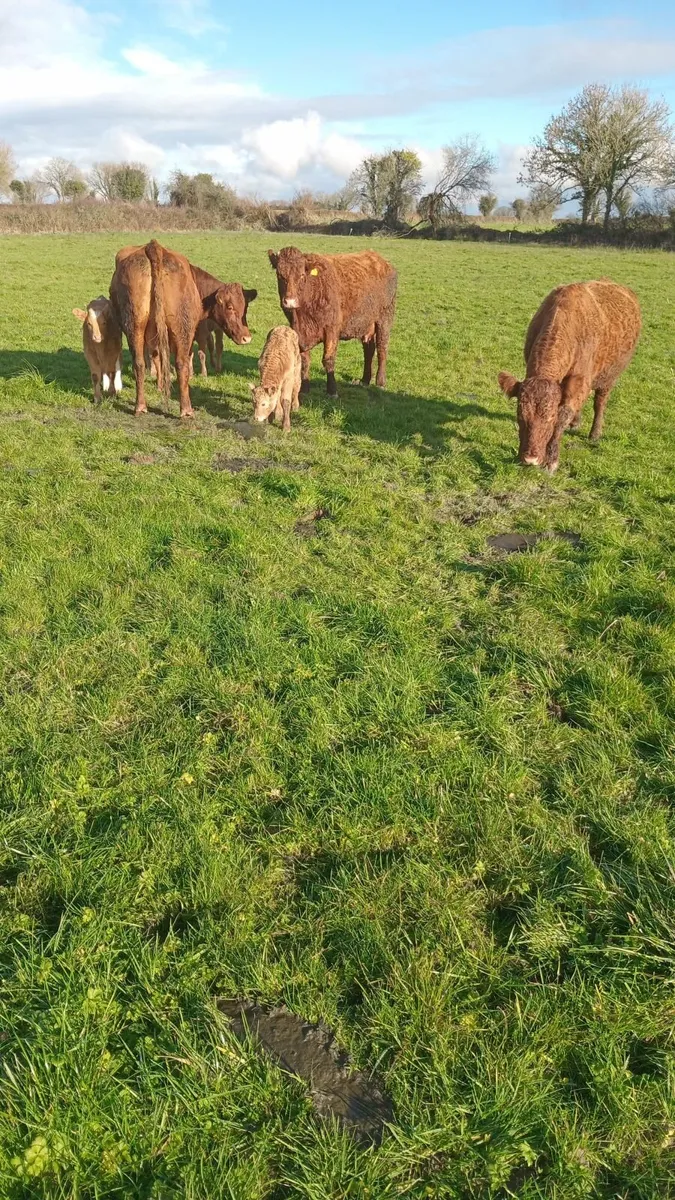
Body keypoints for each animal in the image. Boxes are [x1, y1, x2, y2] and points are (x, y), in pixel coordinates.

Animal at [110, 241, 256, 417]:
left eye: (245, 308)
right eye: (230, 307)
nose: (247, 338)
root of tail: (153, 247)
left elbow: (157, 358)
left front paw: (160, 385)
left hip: (135, 326)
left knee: (140, 363)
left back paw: (141, 406)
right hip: (182, 327)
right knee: (181, 363)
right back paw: (186, 410)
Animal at [268, 246, 397, 398]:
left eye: (302, 275)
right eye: (280, 275)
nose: (290, 301)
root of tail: (381, 261)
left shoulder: (331, 329)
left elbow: (328, 359)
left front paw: (332, 390)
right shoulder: (298, 331)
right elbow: (305, 360)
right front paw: (304, 388)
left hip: (384, 318)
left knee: (382, 348)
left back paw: (380, 381)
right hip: (366, 323)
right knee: (369, 350)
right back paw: (365, 380)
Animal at [498, 280, 641, 472]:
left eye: (550, 418)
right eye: (520, 416)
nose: (530, 459)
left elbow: (562, 418)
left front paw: (551, 460)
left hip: (609, 377)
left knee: (599, 403)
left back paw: (595, 433)